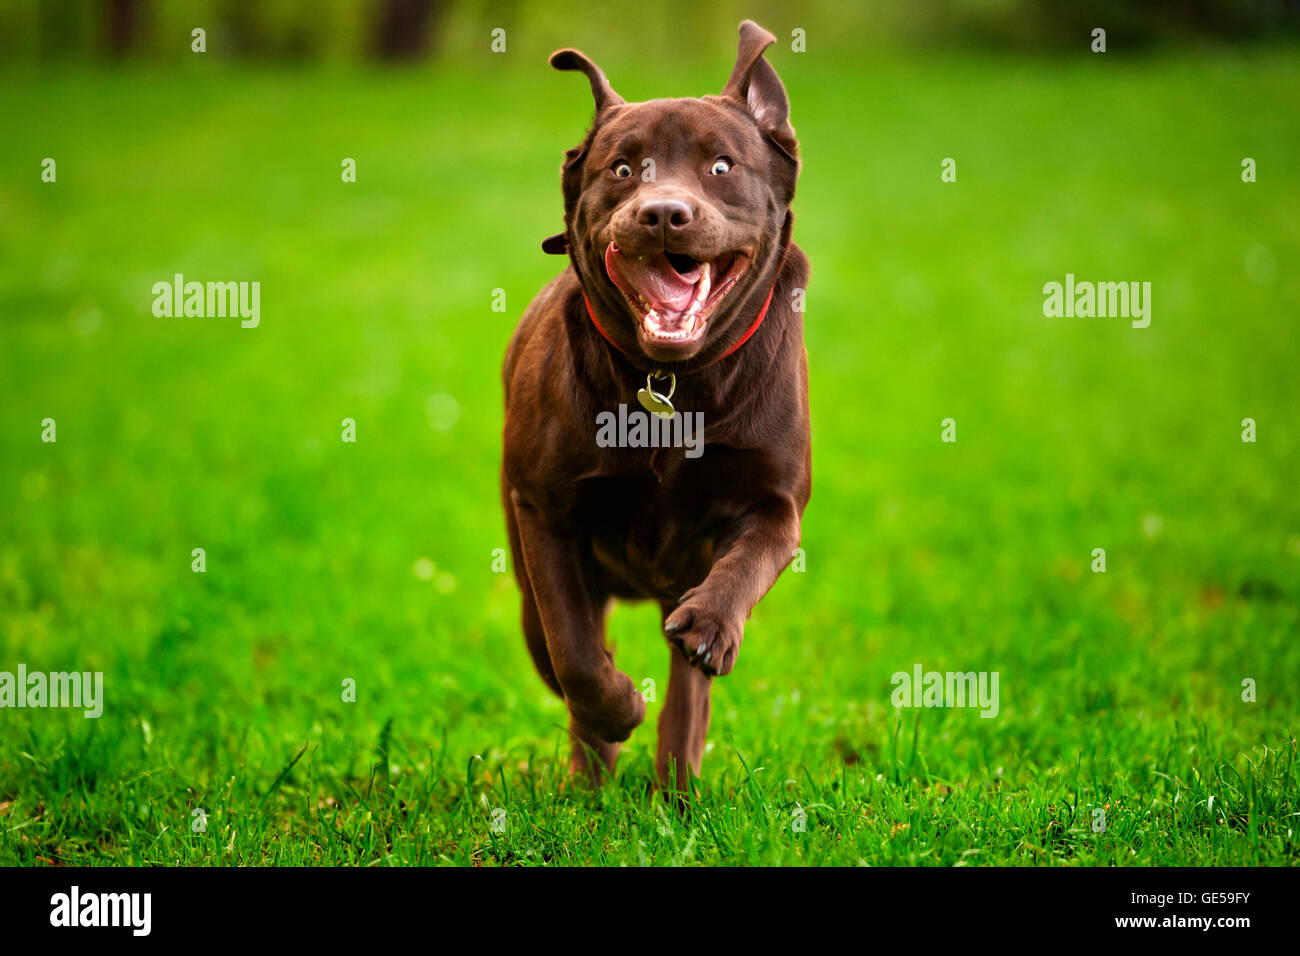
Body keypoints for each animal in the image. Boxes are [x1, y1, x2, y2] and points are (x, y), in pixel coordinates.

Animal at [501, 22, 806, 796]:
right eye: (621, 169)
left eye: (722, 167)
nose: (663, 212)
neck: (673, 383)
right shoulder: (546, 511)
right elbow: (575, 651)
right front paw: (615, 710)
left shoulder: (776, 500)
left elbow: (750, 558)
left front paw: (712, 627)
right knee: (555, 649)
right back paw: (595, 774)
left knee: (687, 692)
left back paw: (677, 781)